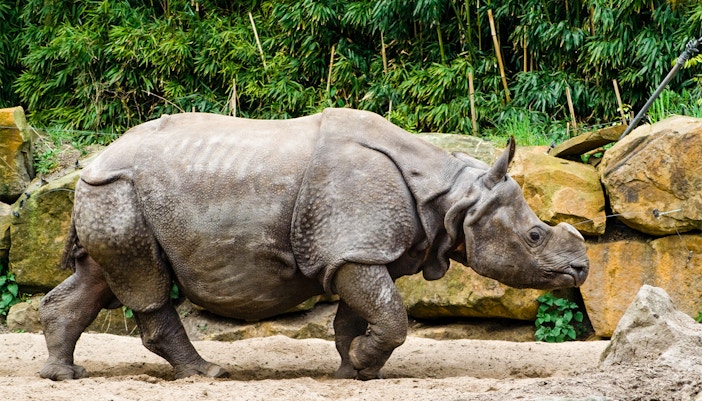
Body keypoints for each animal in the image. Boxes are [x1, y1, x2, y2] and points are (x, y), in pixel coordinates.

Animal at [40, 108, 588, 381]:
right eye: (535, 236)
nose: (581, 269)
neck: (453, 196)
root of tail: (90, 160)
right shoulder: (355, 248)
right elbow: (392, 314)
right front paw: (364, 363)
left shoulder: (350, 251)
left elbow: (359, 313)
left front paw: (353, 369)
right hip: (119, 190)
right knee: (145, 283)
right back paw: (208, 373)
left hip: (110, 194)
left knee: (100, 277)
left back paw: (64, 375)